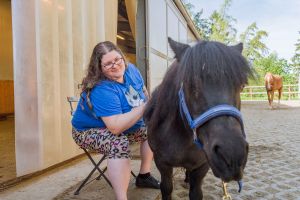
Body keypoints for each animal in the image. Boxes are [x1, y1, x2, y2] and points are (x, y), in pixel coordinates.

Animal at [144, 38, 252, 199]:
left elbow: (196, 192)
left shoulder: (202, 165)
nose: (232, 156)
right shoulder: (162, 164)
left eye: (242, 85)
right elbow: (166, 188)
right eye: (190, 85)